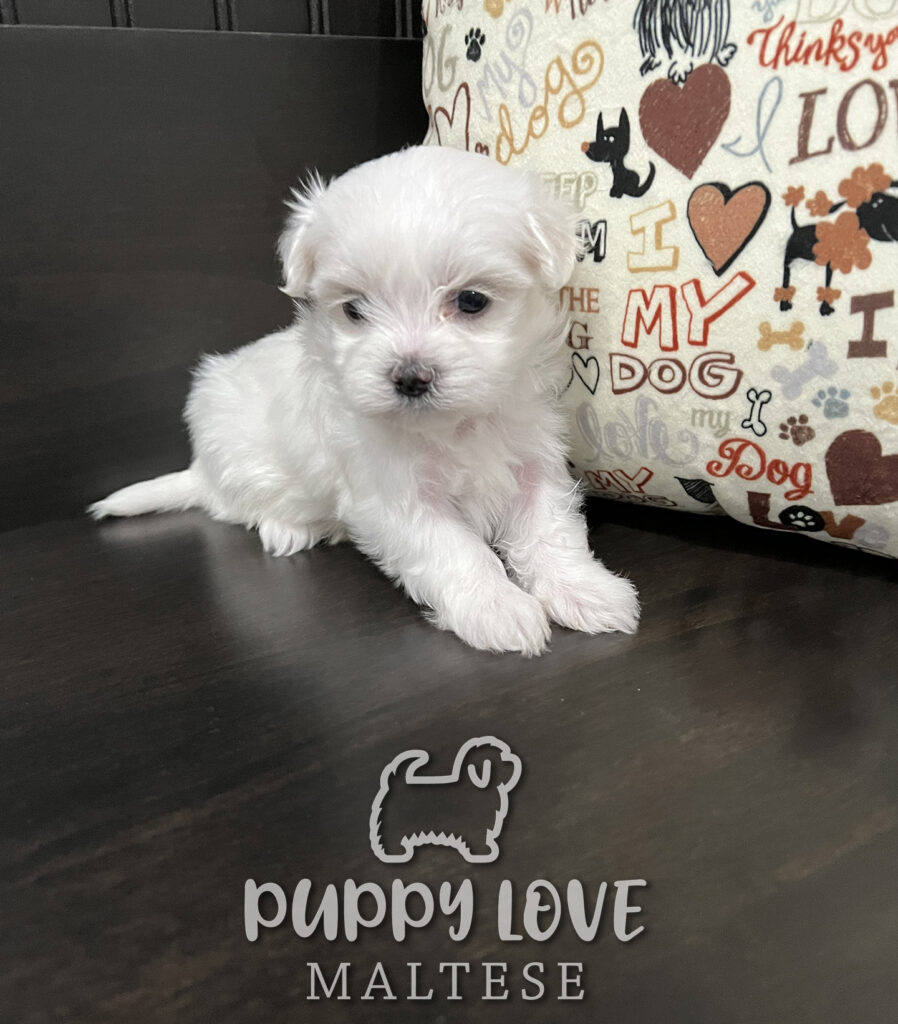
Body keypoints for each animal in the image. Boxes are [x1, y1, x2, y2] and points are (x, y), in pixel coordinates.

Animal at [89, 147, 638, 651]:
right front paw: (497, 607)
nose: (410, 377)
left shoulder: (532, 462)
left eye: (471, 301)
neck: (453, 425)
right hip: (233, 445)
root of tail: (201, 467)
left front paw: (587, 591)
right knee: (239, 504)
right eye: (354, 309)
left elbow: (551, 531)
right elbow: (454, 550)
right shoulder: (394, 498)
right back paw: (288, 528)